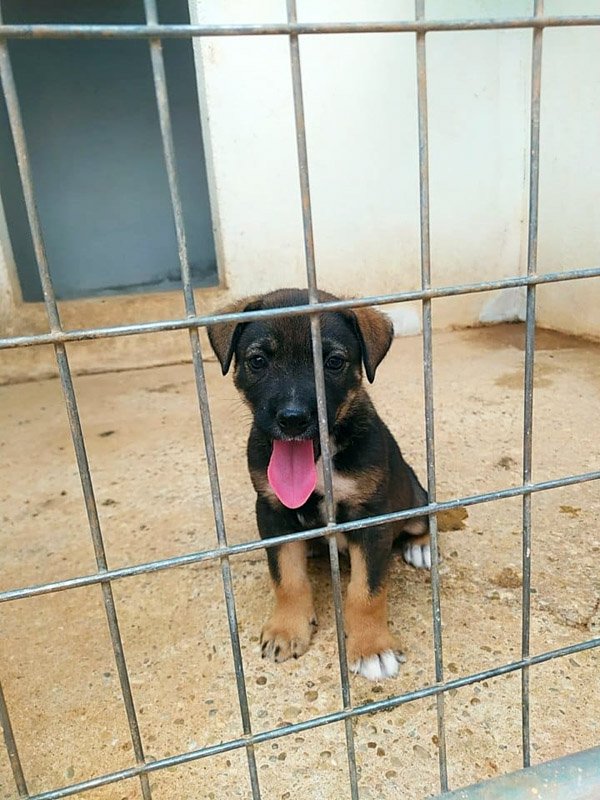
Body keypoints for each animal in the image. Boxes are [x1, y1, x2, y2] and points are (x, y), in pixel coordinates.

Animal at [208, 288, 431, 681]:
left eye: (334, 362)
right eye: (258, 360)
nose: (293, 419)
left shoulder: (371, 516)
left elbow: (367, 590)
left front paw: (372, 647)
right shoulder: (272, 512)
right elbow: (287, 577)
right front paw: (287, 629)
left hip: (415, 497)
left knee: (420, 523)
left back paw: (419, 547)